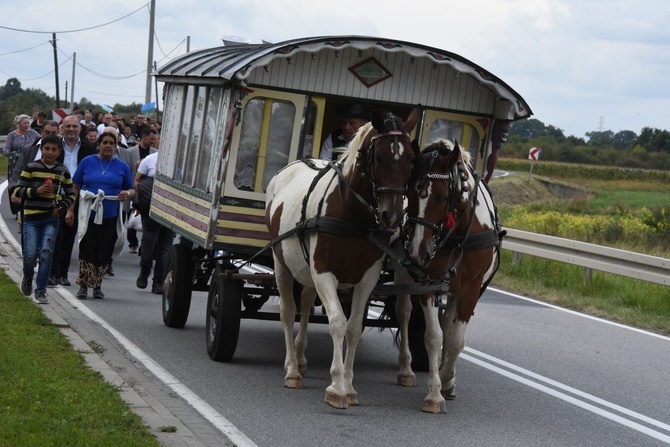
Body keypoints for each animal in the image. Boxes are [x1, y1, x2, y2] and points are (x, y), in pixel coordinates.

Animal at [266, 107, 420, 410]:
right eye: (379, 156)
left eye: (411, 158)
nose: (393, 217)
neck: (351, 216)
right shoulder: (324, 273)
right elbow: (337, 322)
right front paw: (336, 387)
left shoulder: (366, 279)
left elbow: (354, 327)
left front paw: (348, 386)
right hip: (282, 265)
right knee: (289, 312)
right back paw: (292, 369)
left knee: (305, 303)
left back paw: (301, 358)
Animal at [394, 139, 504, 412]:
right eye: (409, 193)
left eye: (443, 197)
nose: (418, 252)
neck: (459, 231)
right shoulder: (428, 283)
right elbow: (433, 336)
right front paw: (435, 393)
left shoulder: (472, 288)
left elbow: (455, 339)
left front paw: (446, 380)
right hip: (404, 276)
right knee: (404, 313)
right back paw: (406, 369)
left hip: (456, 287)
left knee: (448, 323)